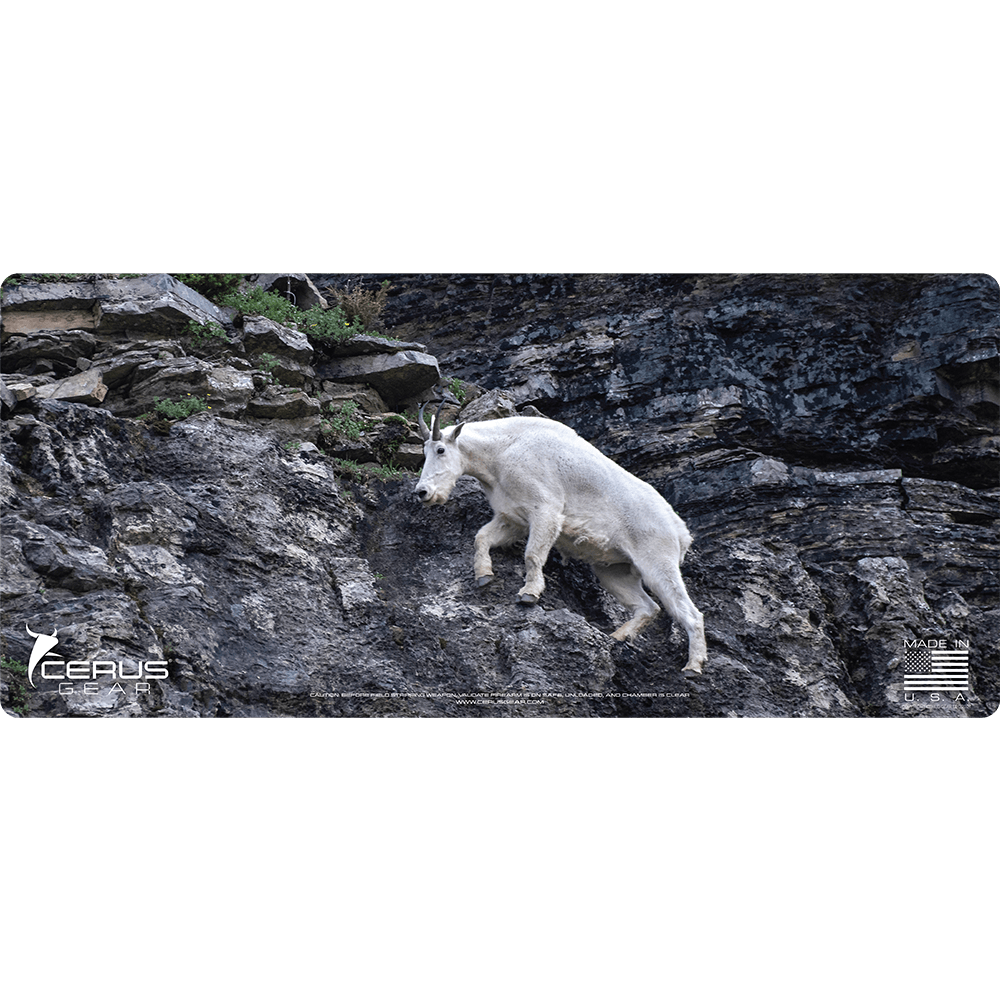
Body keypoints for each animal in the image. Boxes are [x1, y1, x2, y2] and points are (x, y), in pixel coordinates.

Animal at [413, 401, 707, 674]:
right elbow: (481, 538)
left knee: (689, 612)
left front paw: (529, 594)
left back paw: (693, 666)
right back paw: (618, 637)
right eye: (424, 452)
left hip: (657, 561)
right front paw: (483, 575)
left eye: (441, 450)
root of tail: (680, 530)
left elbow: (532, 555)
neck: (501, 451)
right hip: (614, 571)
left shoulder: (546, 511)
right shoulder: (512, 518)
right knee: (648, 607)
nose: (422, 492)